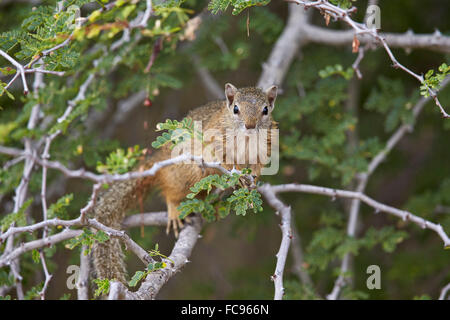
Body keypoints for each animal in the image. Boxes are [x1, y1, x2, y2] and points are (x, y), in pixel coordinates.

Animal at [92, 82, 278, 282]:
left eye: (265, 109)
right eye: (236, 108)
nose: (250, 125)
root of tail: (159, 159)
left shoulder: (265, 146)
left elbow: (258, 166)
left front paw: (252, 182)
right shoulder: (215, 140)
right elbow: (223, 160)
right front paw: (238, 176)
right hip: (183, 174)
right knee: (171, 192)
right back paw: (174, 209)